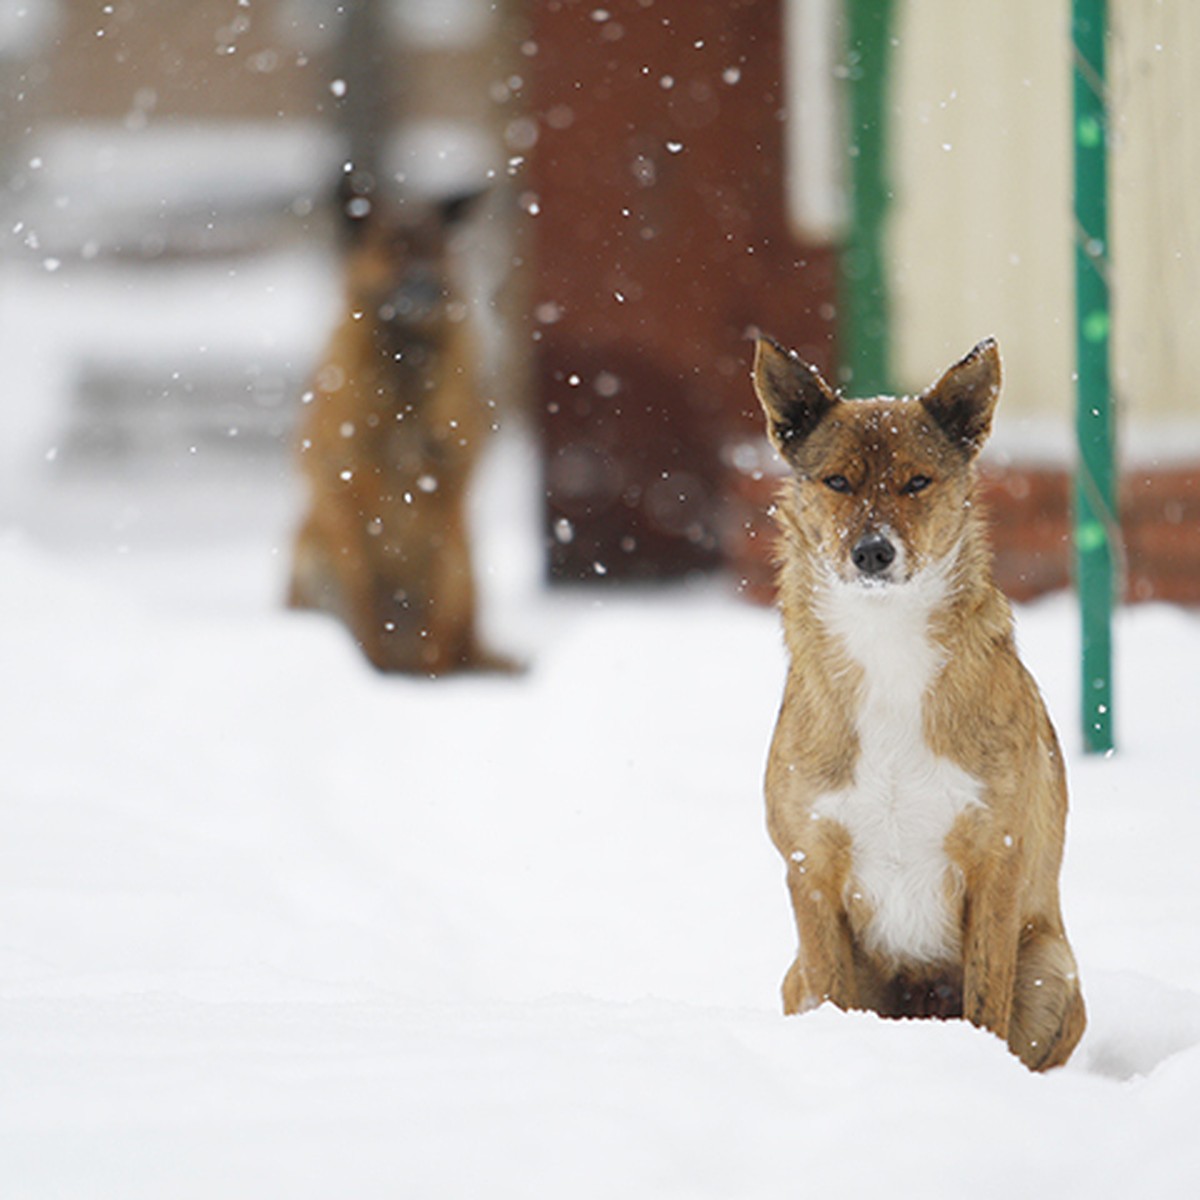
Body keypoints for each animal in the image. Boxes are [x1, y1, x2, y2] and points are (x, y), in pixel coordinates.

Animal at [286, 189, 511, 676]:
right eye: (391, 249)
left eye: (435, 248)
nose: (426, 285)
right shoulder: (342, 496)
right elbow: (363, 601)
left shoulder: (446, 501)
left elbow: (435, 622)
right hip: (311, 559)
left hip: (462, 566)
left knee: (444, 635)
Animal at [758, 336, 1089, 1070]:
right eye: (838, 482)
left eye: (917, 482)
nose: (873, 552)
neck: (886, 651)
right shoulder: (809, 870)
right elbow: (834, 990)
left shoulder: (994, 859)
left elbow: (986, 1002)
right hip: (793, 975)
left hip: (1051, 966)